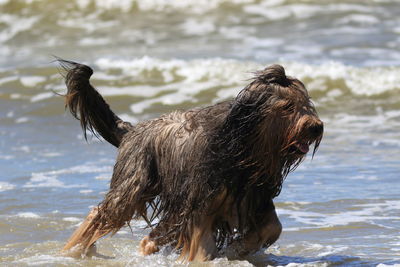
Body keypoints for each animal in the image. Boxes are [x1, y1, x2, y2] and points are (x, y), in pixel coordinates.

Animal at [58, 60, 322, 262]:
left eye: (307, 104)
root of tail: (133, 130)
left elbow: (273, 227)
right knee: (101, 213)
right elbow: (201, 243)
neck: (244, 149)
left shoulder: (254, 197)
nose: (317, 127)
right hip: (134, 183)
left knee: (152, 234)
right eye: (287, 107)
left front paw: (236, 249)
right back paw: (71, 251)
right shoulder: (199, 202)